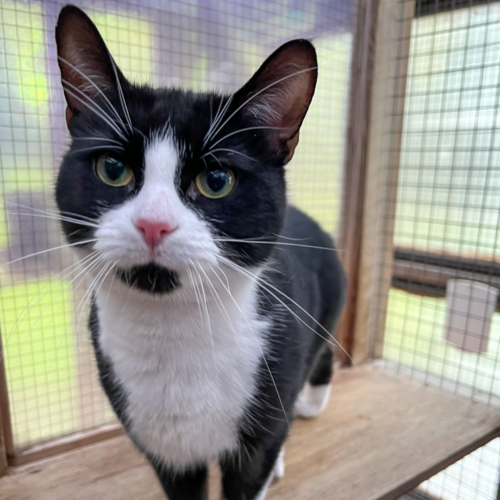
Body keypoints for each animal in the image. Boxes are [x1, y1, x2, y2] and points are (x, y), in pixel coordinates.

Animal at [52, 4, 346, 500]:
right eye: (112, 169)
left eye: (216, 180)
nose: (153, 222)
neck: (173, 332)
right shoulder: (162, 447)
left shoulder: (257, 433)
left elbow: (257, 461)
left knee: (318, 358)